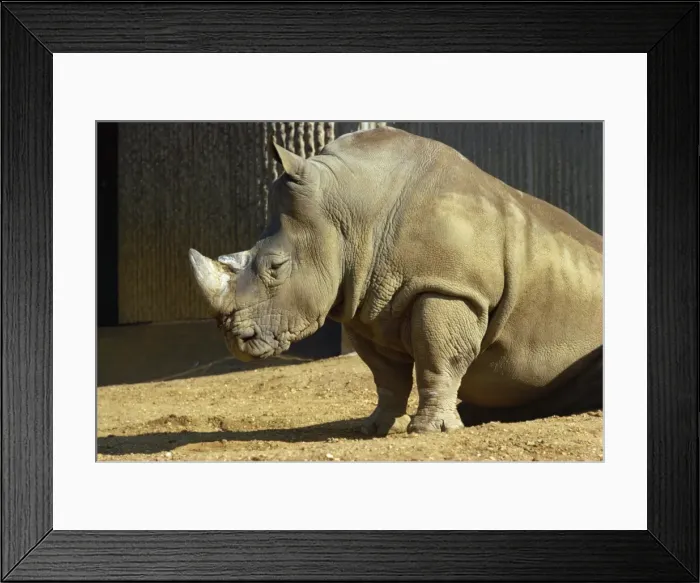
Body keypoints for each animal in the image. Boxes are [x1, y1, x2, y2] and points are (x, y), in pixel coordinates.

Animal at [189, 127, 603, 435]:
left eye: (275, 267)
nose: (236, 341)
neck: (353, 213)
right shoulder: (363, 302)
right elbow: (385, 374)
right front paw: (373, 428)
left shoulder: (450, 288)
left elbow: (439, 357)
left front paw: (431, 430)